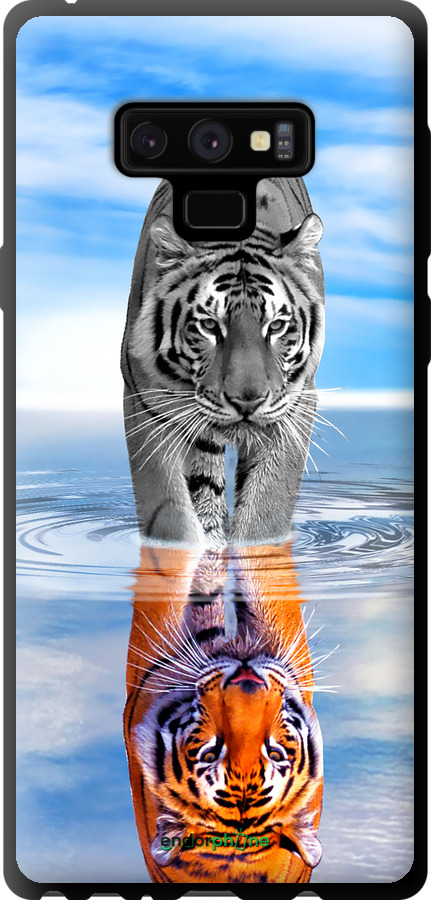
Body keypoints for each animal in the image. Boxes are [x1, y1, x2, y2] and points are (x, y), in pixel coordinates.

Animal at [121, 178, 325, 548]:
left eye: (276, 326)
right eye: (209, 325)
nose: (247, 401)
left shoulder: (297, 404)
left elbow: (267, 508)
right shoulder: (146, 401)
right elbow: (169, 512)